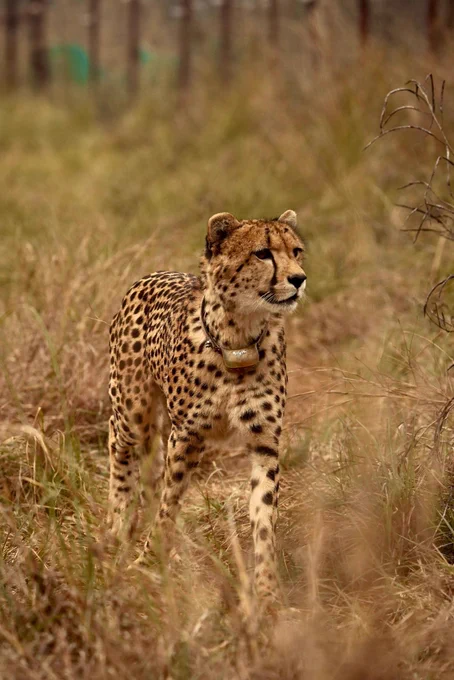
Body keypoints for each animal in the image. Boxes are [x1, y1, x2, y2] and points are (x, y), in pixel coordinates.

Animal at [107, 209, 307, 599]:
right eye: (263, 253)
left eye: (296, 251)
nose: (299, 279)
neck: (239, 335)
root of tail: (154, 274)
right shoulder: (187, 436)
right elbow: (169, 502)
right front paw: (149, 560)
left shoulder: (264, 440)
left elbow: (264, 517)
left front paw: (267, 591)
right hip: (132, 409)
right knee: (118, 443)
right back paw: (117, 524)